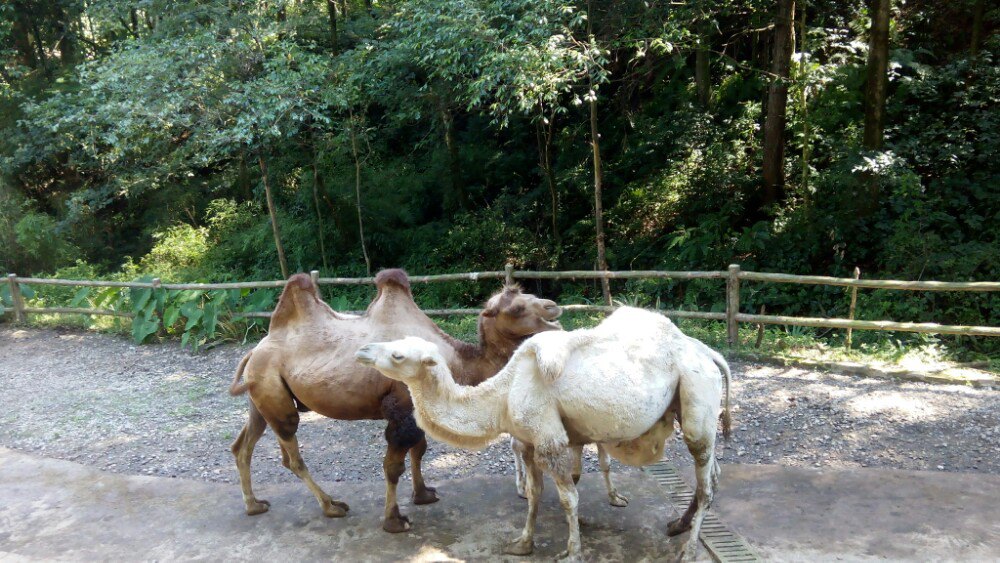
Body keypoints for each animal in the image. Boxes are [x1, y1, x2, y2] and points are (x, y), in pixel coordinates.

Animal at [227, 268, 564, 532]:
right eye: (516, 308)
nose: (553, 308)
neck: (455, 364)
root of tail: (254, 350)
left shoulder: (418, 407)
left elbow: (420, 450)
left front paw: (423, 494)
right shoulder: (401, 409)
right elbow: (393, 465)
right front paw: (394, 521)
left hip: (261, 396)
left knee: (243, 446)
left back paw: (253, 504)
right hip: (275, 396)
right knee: (292, 455)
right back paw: (332, 506)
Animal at [356, 308, 732, 563]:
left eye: (397, 354)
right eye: (396, 343)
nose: (362, 351)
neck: (504, 394)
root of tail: (709, 354)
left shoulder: (549, 439)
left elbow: (568, 498)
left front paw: (573, 552)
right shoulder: (528, 440)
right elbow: (535, 494)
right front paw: (522, 544)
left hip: (696, 393)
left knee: (706, 478)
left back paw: (687, 551)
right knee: (712, 473)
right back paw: (677, 525)